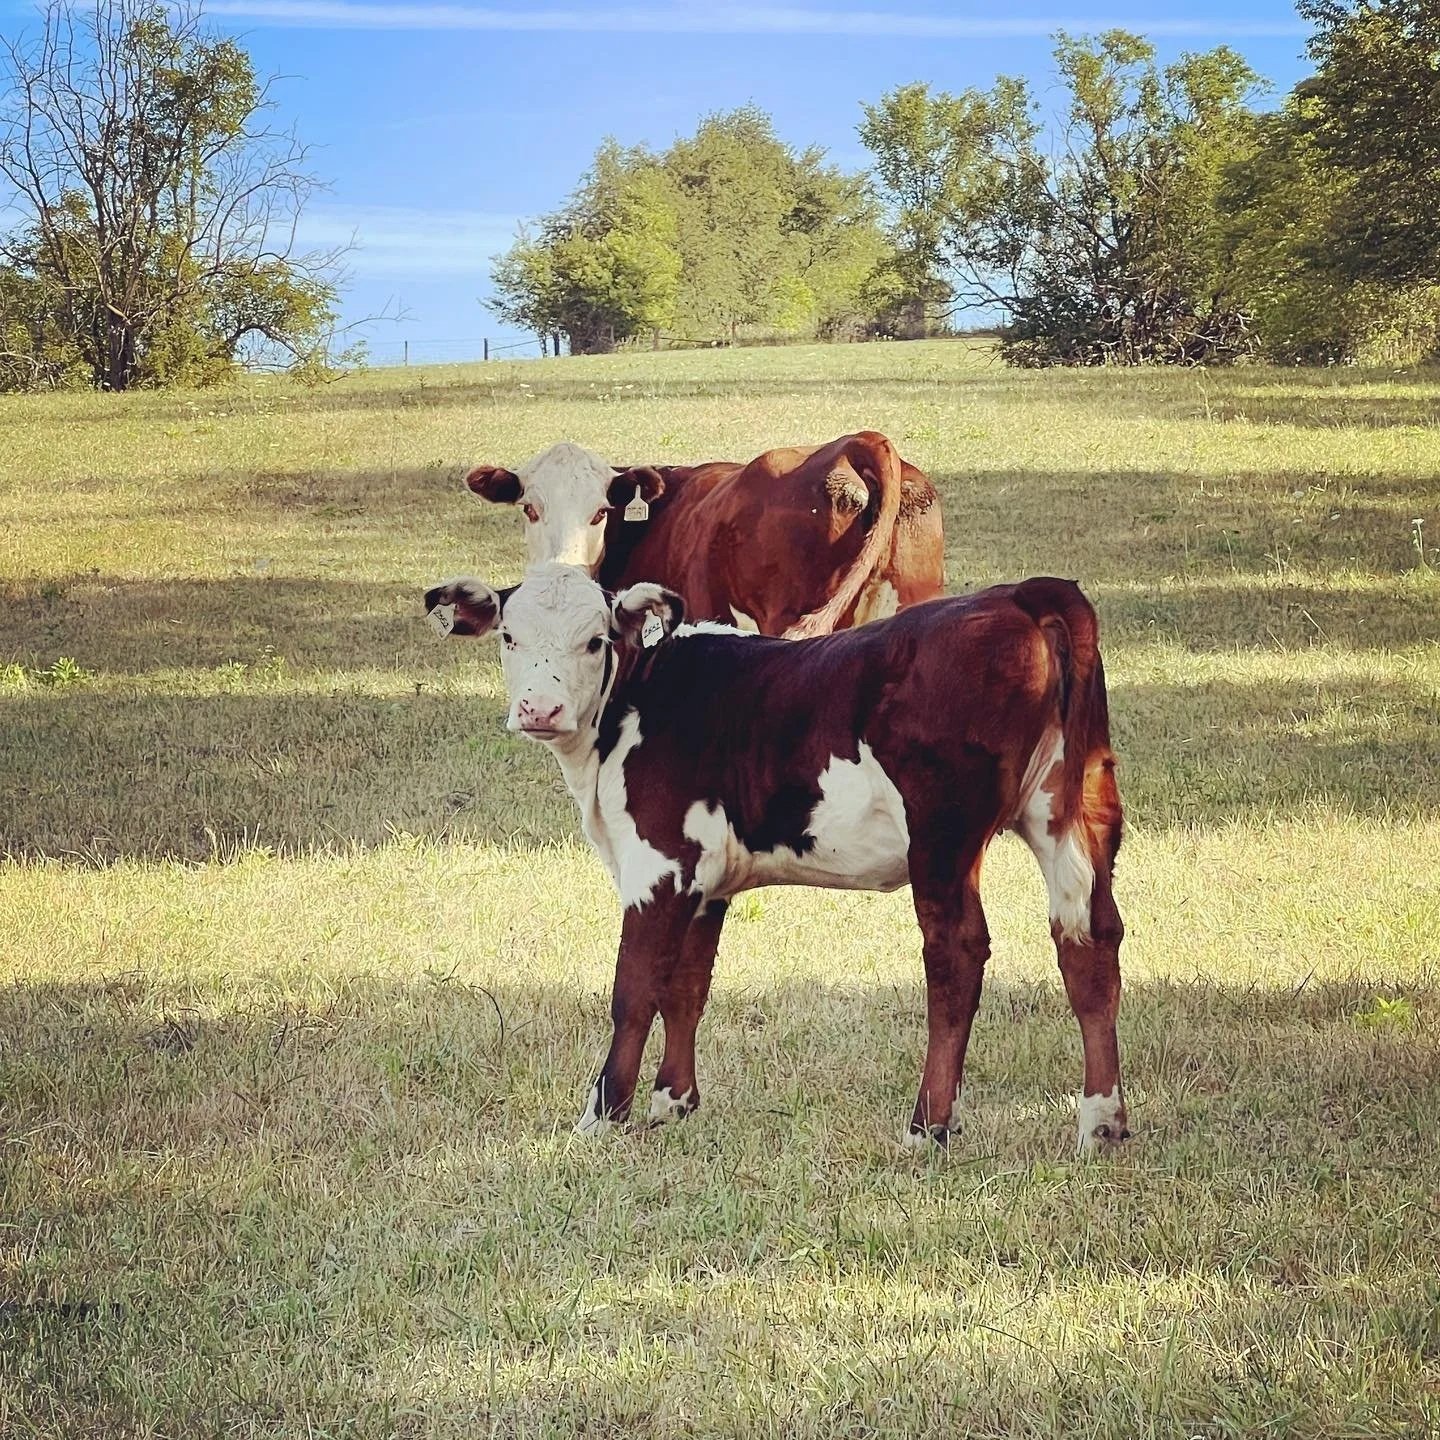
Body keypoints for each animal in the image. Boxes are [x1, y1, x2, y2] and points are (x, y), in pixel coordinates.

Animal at [423, 564, 1129, 1153]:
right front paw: (673, 1102)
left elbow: (635, 989)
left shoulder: (658, 863)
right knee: (1089, 940)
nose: (539, 709)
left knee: (957, 956)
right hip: (1074, 812)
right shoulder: (706, 880)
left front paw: (602, 1115)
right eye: (508, 637)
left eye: (595, 641)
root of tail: (1018, 595)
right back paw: (1101, 1122)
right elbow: (688, 986)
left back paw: (928, 1126)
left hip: (943, 834)